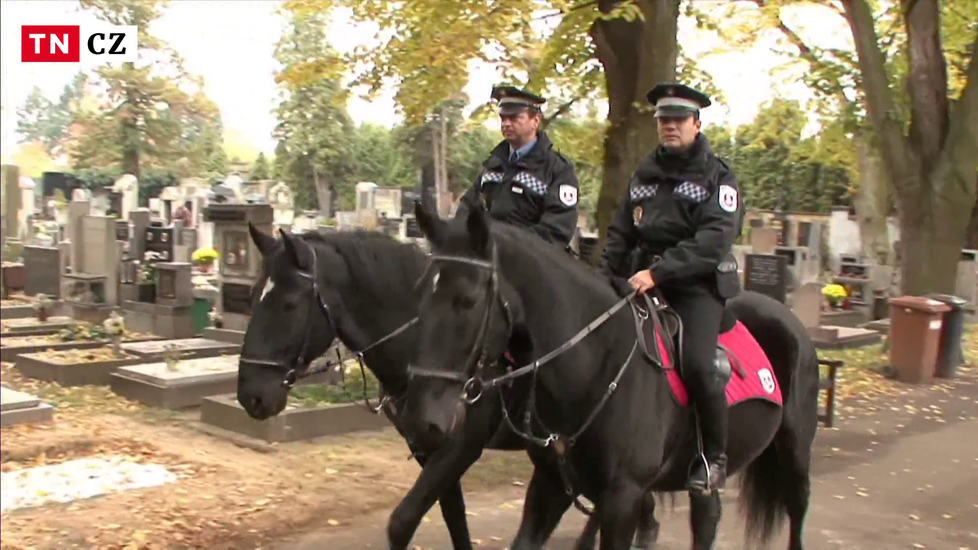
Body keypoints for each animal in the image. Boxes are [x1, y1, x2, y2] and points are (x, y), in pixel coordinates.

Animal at [235, 225, 660, 550]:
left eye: (289, 304)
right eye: (253, 296)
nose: (250, 395)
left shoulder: (461, 445)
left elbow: (403, 520)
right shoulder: (428, 446)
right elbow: (453, 517)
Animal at [400, 204, 820, 550]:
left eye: (466, 300)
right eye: (420, 295)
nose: (422, 419)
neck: (596, 363)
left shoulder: (623, 497)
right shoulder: (552, 485)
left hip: (794, 454)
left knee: (797, 514)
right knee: (706, 519)